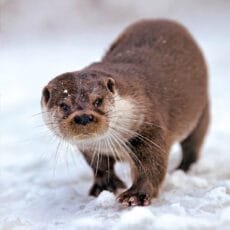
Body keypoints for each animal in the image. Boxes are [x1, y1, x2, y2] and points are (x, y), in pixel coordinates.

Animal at [41, 19, 208, 207]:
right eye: (64, 105)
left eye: (98, 100)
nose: (83, 117)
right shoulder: (90, 148)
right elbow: (99, 166)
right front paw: (105, 185)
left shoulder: (149, 127)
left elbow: (151, 164)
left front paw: (136, 194)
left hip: (202, 110)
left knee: (193, 144)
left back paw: (184, 168)